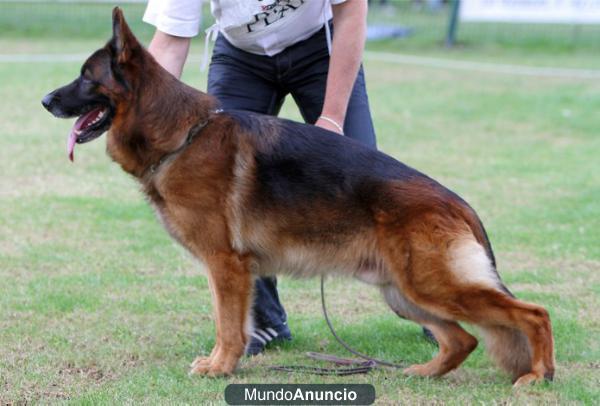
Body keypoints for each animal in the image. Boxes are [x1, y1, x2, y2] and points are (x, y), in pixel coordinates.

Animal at [43, 7, 556, 386]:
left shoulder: (225, 265)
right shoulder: (231, 270)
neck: (181, 135)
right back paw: (425, 372)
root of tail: (457, 202)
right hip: (403, 292)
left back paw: (539, 374)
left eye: (86, 77)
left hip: (429, 287)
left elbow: (226, 323)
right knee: (463, 340)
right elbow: (232, 322)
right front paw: (225, 362)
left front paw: (220, 367)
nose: (45, 101)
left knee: (533, 313)